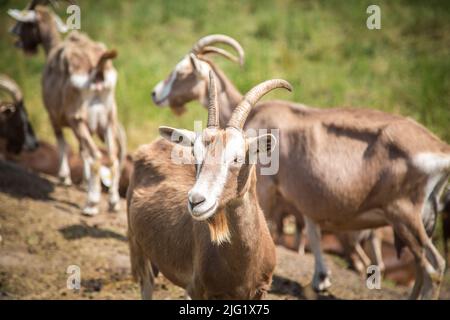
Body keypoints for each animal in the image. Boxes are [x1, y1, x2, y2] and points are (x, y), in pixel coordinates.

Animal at [7, 2, 126, 215]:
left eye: (25, 23)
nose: (14, 34)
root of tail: (97, 69)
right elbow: (82, 152)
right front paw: (85, 183)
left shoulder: (53, 114)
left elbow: (61, 141)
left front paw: (64, 178)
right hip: (108, 119)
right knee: (112, 157)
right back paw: (112, 202)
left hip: (77, 119)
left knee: (96, 156)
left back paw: (91, 205)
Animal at [125, 74, 292, 298]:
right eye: (195, 154)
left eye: (238, 158)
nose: (196, 201)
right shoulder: (200, 290)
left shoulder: (261, 289)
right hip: (138, 247)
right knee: (147, 283)